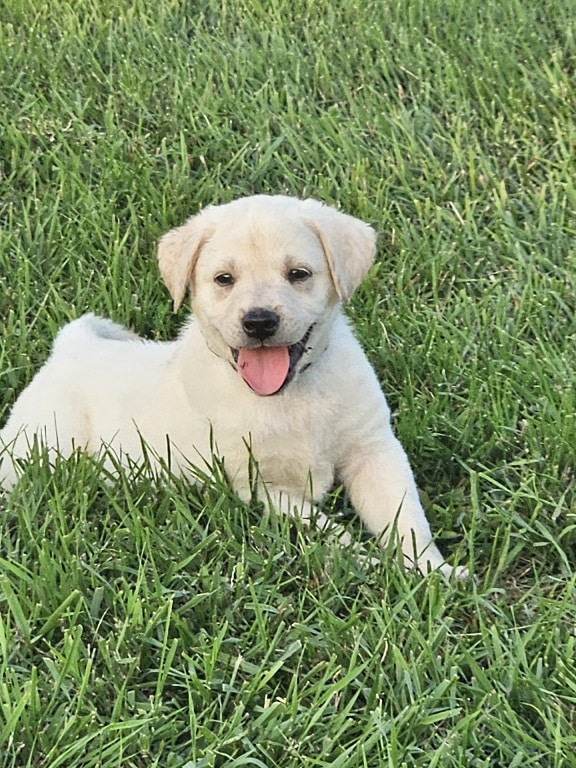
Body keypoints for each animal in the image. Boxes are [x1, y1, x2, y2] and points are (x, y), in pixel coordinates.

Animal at [0, 195, 465, 577]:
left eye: (298, 274)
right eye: (224, 279)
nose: (259, 321)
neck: (288, 397)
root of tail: (70, 345)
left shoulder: (374, 450)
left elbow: (406, 517)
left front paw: (431, 572)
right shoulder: (259, 486)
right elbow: (327, 530)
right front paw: (369, 563)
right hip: (36, 446)